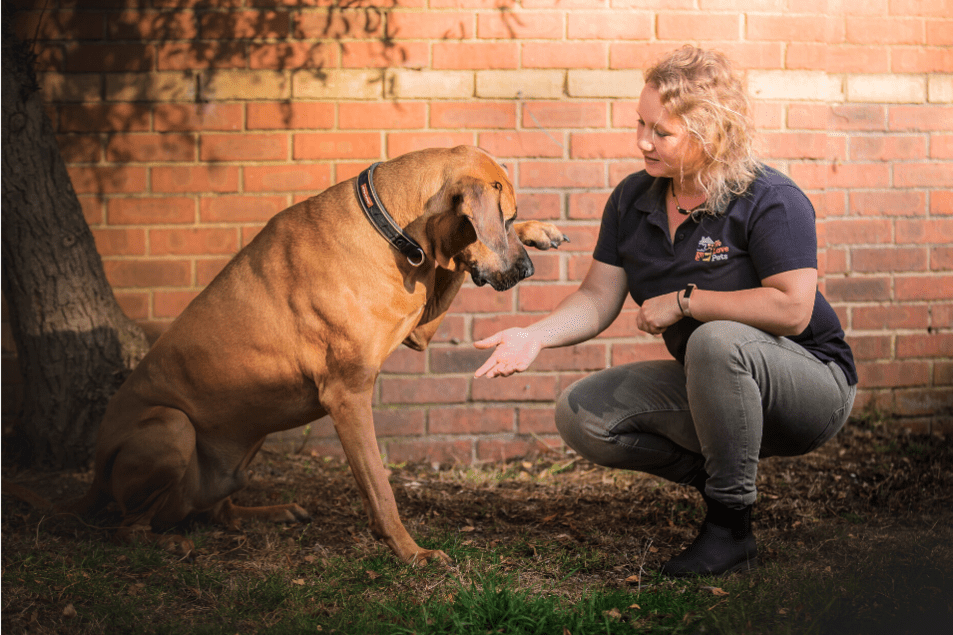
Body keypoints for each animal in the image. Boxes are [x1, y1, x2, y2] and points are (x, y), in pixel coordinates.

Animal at [70, 148, 568, 568]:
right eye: (505, 216)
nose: (527, 271)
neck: (391, 229)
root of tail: (92, 480)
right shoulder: (348, 396)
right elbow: (380, 489)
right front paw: (412, 553)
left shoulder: (421, 325)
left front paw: (540, 231)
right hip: (171, 427)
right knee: (126, 528)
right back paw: (166, 542)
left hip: (240, 452)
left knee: (216, 513)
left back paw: (266, 512)